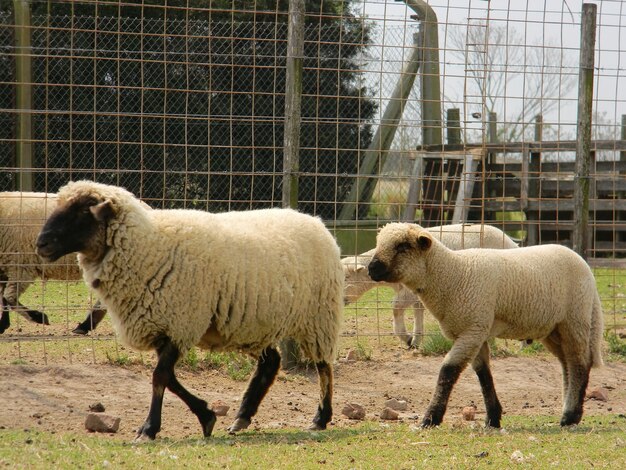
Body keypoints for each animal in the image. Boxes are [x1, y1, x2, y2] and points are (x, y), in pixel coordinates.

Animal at [0, 191, 106, 334]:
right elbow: (4, 299)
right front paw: (3, 325)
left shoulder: (20, 267)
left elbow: (9, 298)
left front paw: (39, 317)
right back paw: (85, 325)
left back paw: (84, 326)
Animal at [36, 180, 344, 440]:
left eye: (81, 212)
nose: (41, 244)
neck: (148, 248)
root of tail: (315, 221)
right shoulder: (163, 326)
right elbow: (168, 378)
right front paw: (206, 415)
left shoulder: (180, 323)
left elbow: (160, 377)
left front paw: (150, 428)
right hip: (254, 323)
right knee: (271, 363)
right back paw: (242, 417)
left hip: (318, 317)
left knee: (323, 367)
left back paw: (320, 417)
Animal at [342, 224, 516, 348]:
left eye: (346, 277)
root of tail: (512, 243)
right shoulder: (417, 293)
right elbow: (418, 313)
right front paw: (415, 341)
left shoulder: (409, 291)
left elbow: (396, 307)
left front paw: (406, 338)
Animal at [368, 224, 604, 430]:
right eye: (379, 243)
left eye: (403, 246)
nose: (372, 268)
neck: (452, 276)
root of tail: (585, 266)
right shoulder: (474, 331)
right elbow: (483, 375)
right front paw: (493, 418)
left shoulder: (472, 330)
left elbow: (448, 371)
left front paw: (430, 418)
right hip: (553, 329)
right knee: (567, 364)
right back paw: (569, 412)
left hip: (575, 319)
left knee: (579, 364)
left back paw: (570, 416)